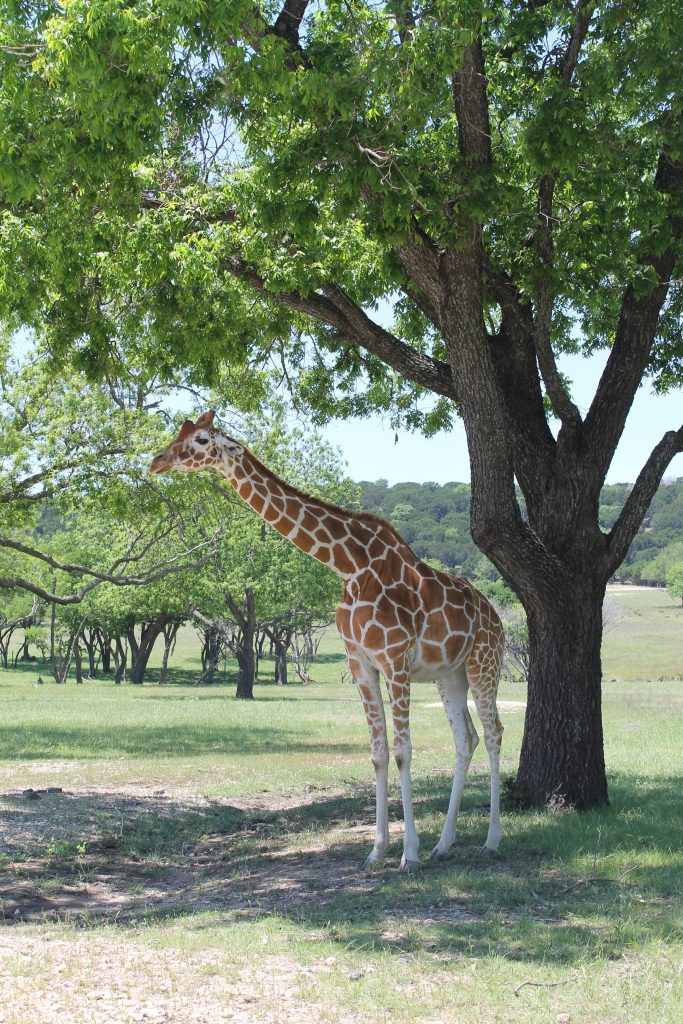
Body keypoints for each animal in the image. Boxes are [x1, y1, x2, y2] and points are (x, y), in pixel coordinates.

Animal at [149, 411, 505, 868]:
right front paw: (377, 850)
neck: (349, 567)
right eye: (180, 430)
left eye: (200, 439)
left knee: (493, 733)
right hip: (450, 674)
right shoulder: (361, 664)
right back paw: (444, 844)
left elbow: (403, 751)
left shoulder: (395, 660)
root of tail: (497, 618)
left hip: (484, 664)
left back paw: (490, 840)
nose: (157, 461)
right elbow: (378, 752)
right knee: (467, 739)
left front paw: (408, 854)